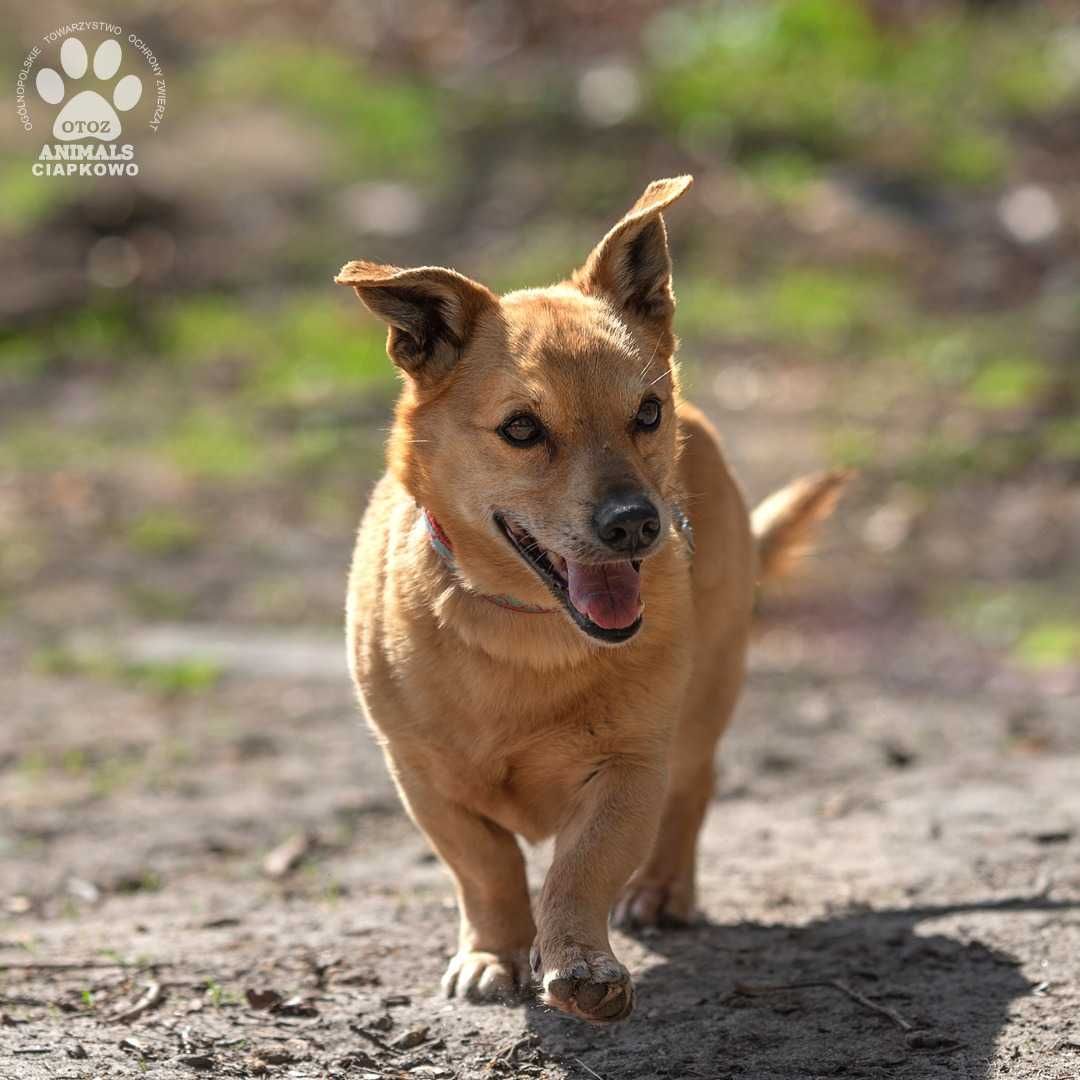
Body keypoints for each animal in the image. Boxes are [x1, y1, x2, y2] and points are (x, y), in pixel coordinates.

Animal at [334, 174, 842, 1019]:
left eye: (647, 412)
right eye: (520, 429)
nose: (636, 522)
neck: (527, 631)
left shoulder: (630, 768)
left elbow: (582, 868)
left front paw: (579, 962)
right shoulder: (422, 777)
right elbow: (486, 866)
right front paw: (493, 953)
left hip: (705, 697)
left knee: (694, 786)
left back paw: (663, 888)